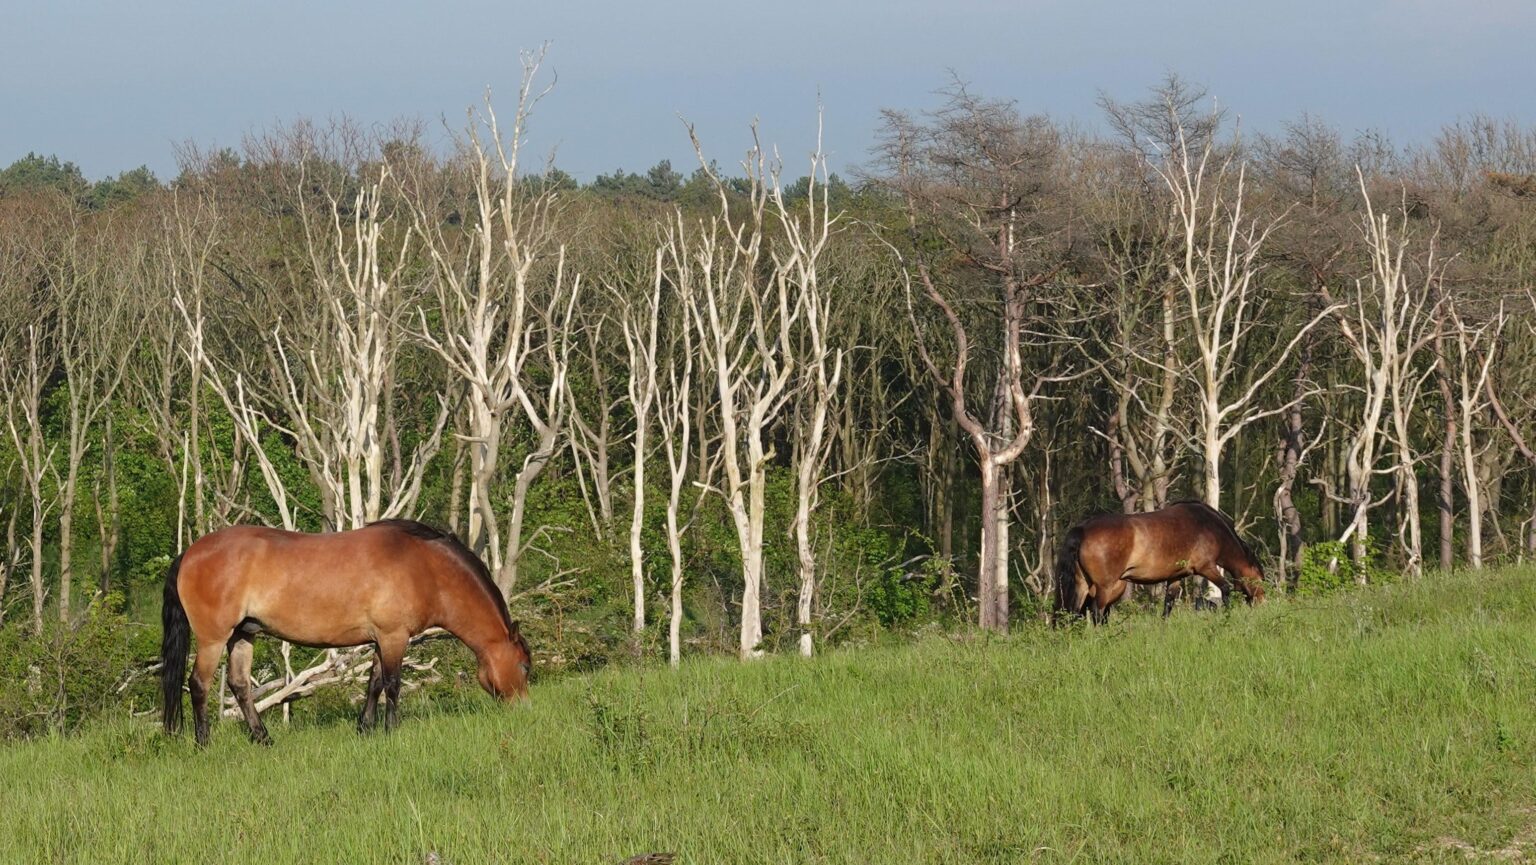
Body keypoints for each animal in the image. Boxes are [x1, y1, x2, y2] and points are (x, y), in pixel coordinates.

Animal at [160, 519, 531, 746]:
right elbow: (392, 685)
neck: (424, 566)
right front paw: (392, 729)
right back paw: (204, 742)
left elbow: (374, 683)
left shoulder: (382, 639)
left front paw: (365, 728)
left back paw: (263, 738)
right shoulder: (394, 637)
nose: (523, 708)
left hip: (243, 634)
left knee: (239, 685)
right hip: (213, 639)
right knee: (199, 684)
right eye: (525, 667)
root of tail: (190, 552)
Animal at [1054, 500, 1265, 624]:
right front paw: (1227, 615)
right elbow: (1225, 589)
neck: (1208, 526)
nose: (1263, 603)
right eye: (1259, 579)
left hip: (1083, 585)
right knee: (1097, 612)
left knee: (1074, 612)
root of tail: (1083, 529)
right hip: (1106, 587)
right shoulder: (1206, 567)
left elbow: (1168, 604)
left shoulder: (1176, 576)